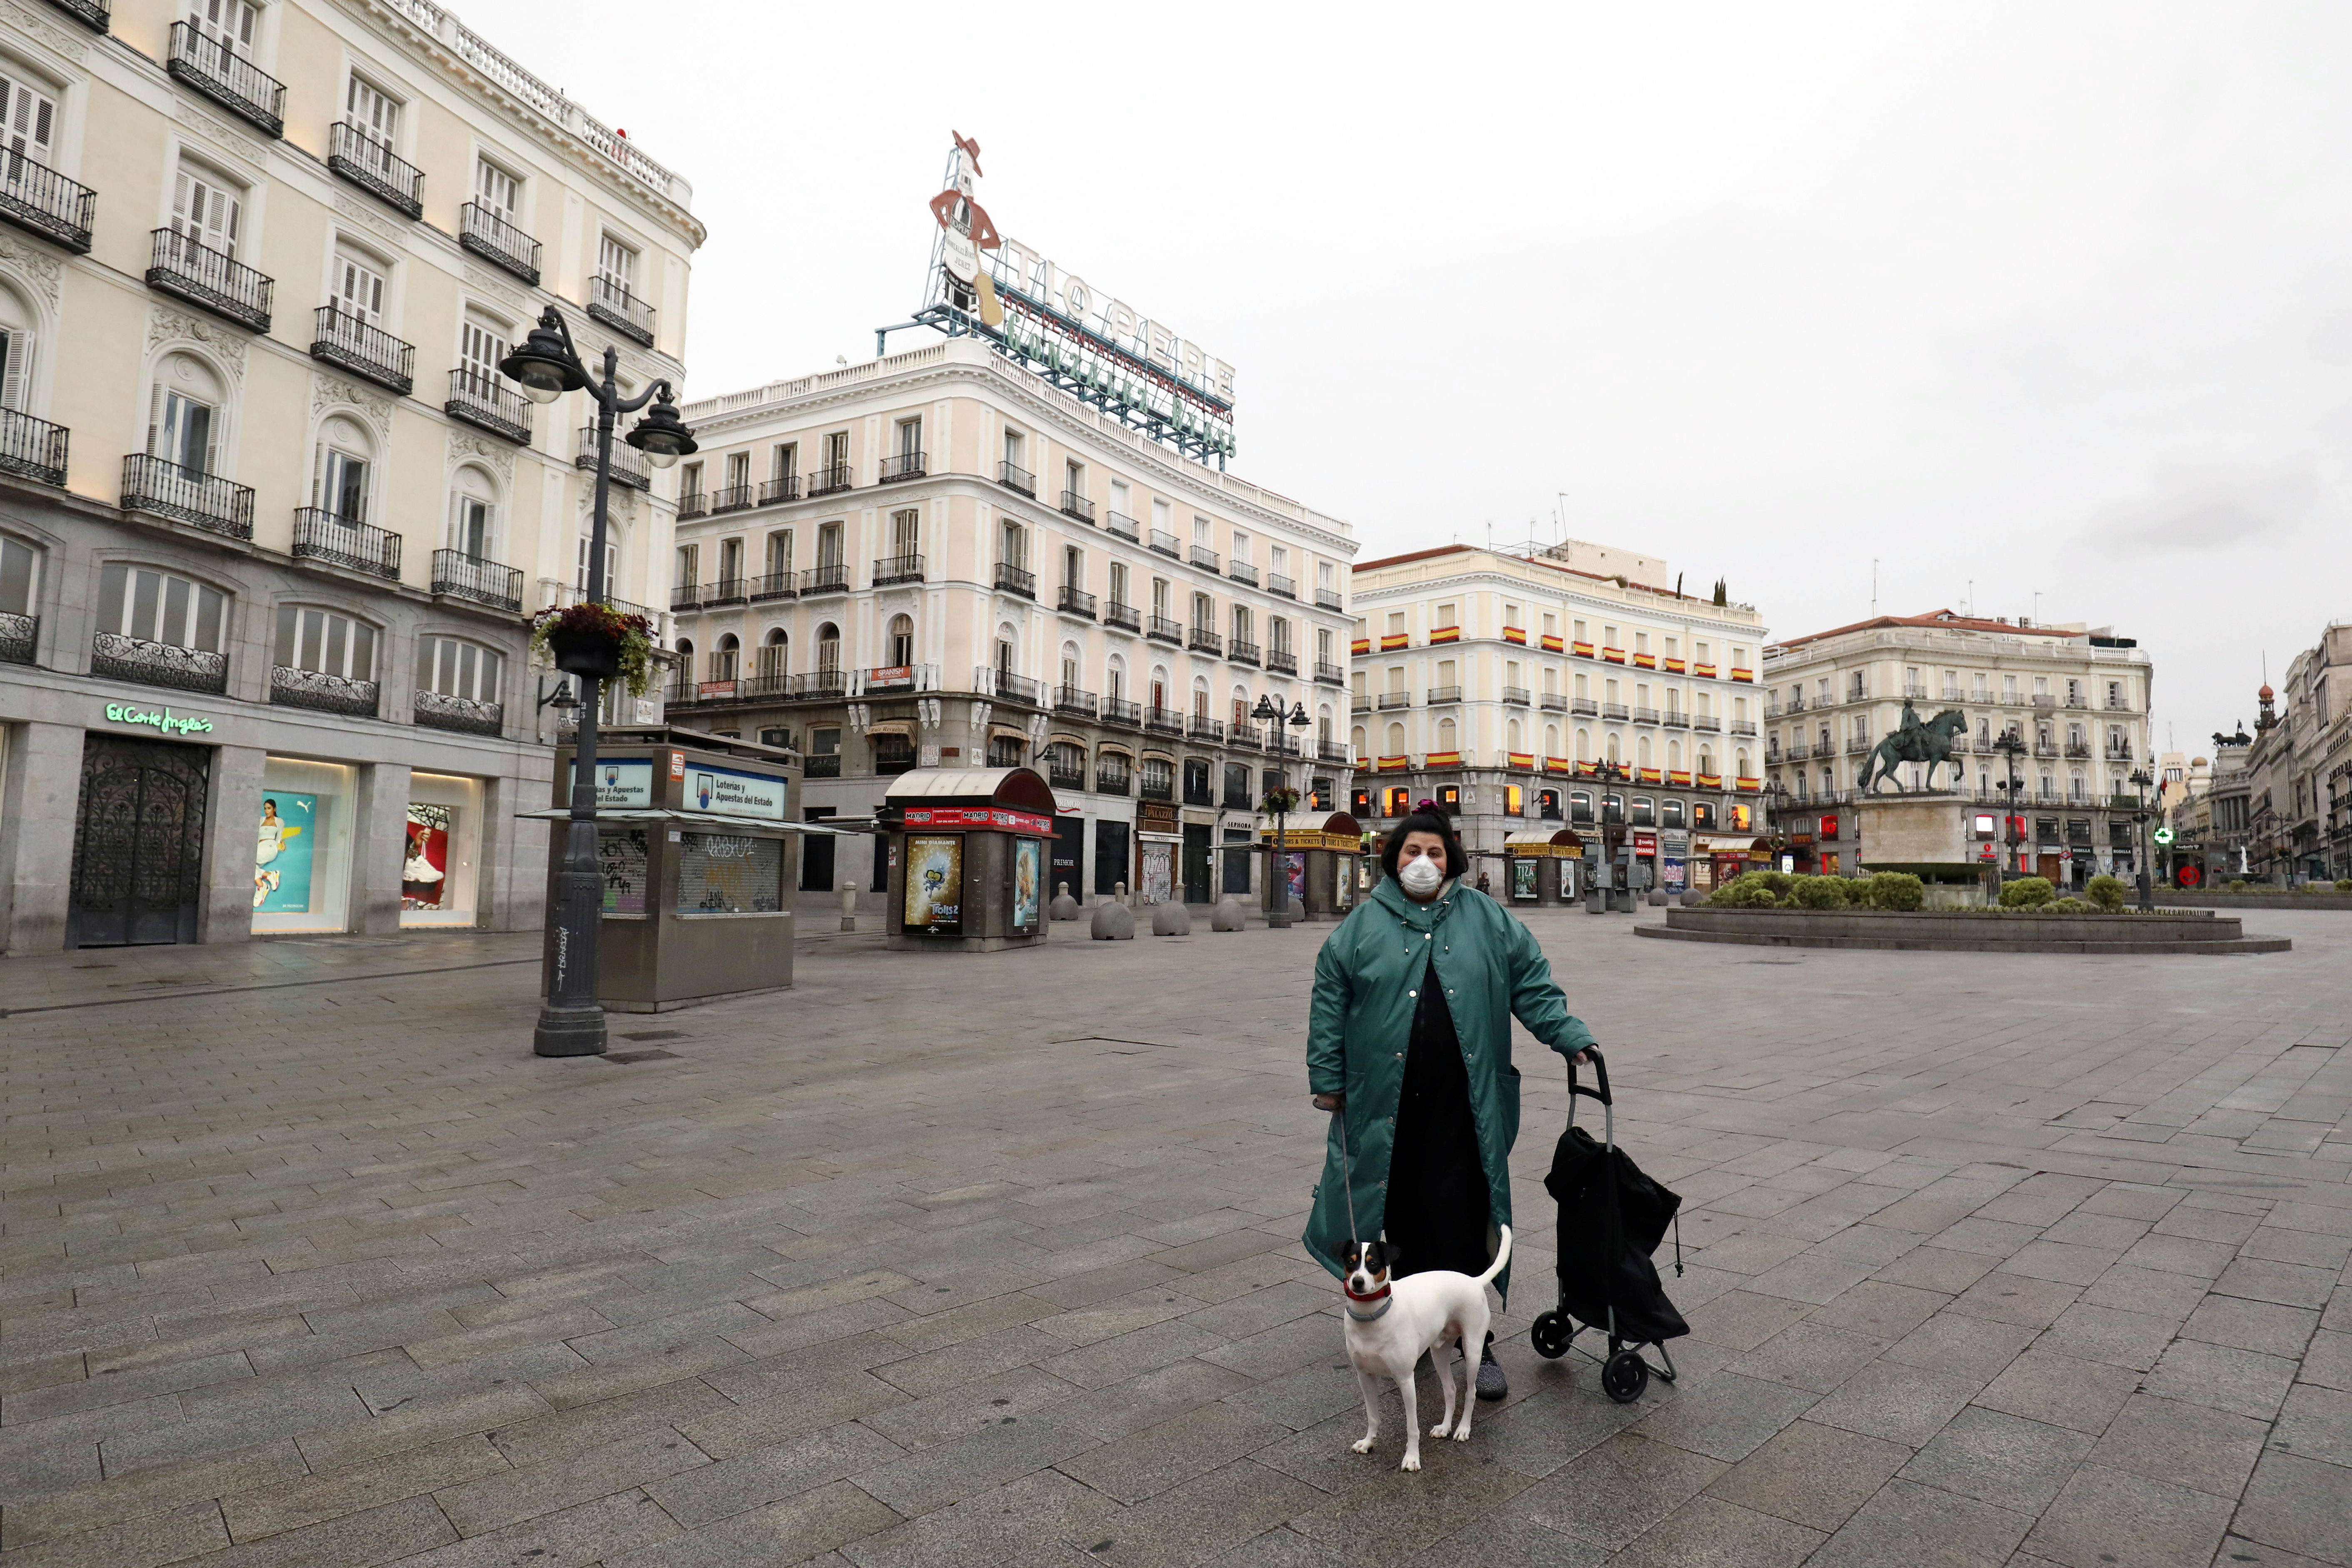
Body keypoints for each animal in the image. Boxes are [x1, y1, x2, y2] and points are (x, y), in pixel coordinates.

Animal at [1345, 1222, 1505, 1476]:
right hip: (1439, 1353)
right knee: (1451, 1390)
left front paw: (1412, 1458)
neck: (1371, 1316)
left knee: (1470, 1393)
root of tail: (1474, 1281)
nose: (1358, 1282)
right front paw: (1369, 1442)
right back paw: (1445, 1427)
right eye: (1350, 1263)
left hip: (1473, 1350)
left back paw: (1463, 1429)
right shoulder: (1365, 1376)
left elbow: (1412, 1427)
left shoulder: (1405, 1380)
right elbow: (1373, 1416)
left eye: (1373, 1264)